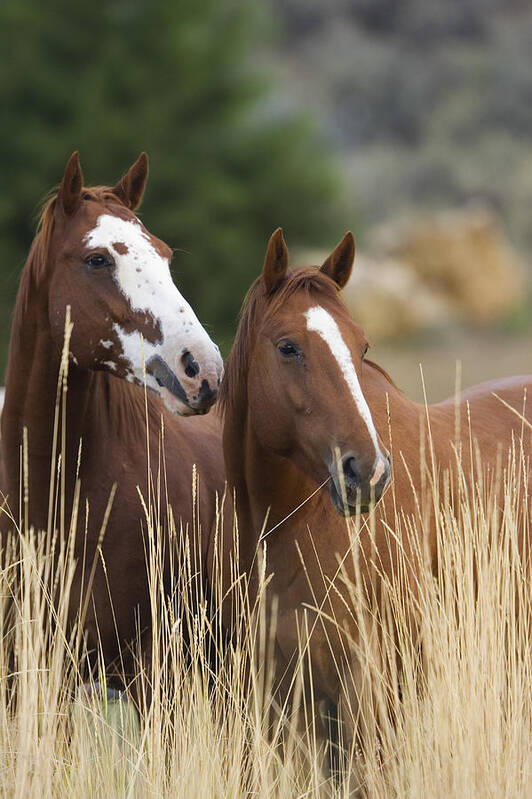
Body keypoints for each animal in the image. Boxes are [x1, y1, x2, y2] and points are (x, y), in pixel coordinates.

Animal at [217, 230, 532, 764]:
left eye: (361, 345)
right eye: (288, 347)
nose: (368, 473)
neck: (298, 526)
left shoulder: (370, 695)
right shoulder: (290, 706)